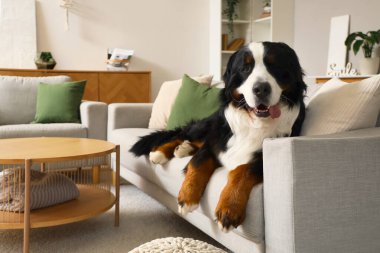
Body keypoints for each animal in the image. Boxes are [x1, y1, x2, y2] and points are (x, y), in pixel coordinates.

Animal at [130, 41, 306, 231]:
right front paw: (187, 197)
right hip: (208, 125)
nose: (261, 88)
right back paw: (162, 152)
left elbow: (242, 170)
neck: (254, 123)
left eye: (275, 66)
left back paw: (183, 149)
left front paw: (229, 208)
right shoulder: (216, 143)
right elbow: (198, 163)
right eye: (245, 68)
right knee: (182, 134)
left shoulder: (261, 159)